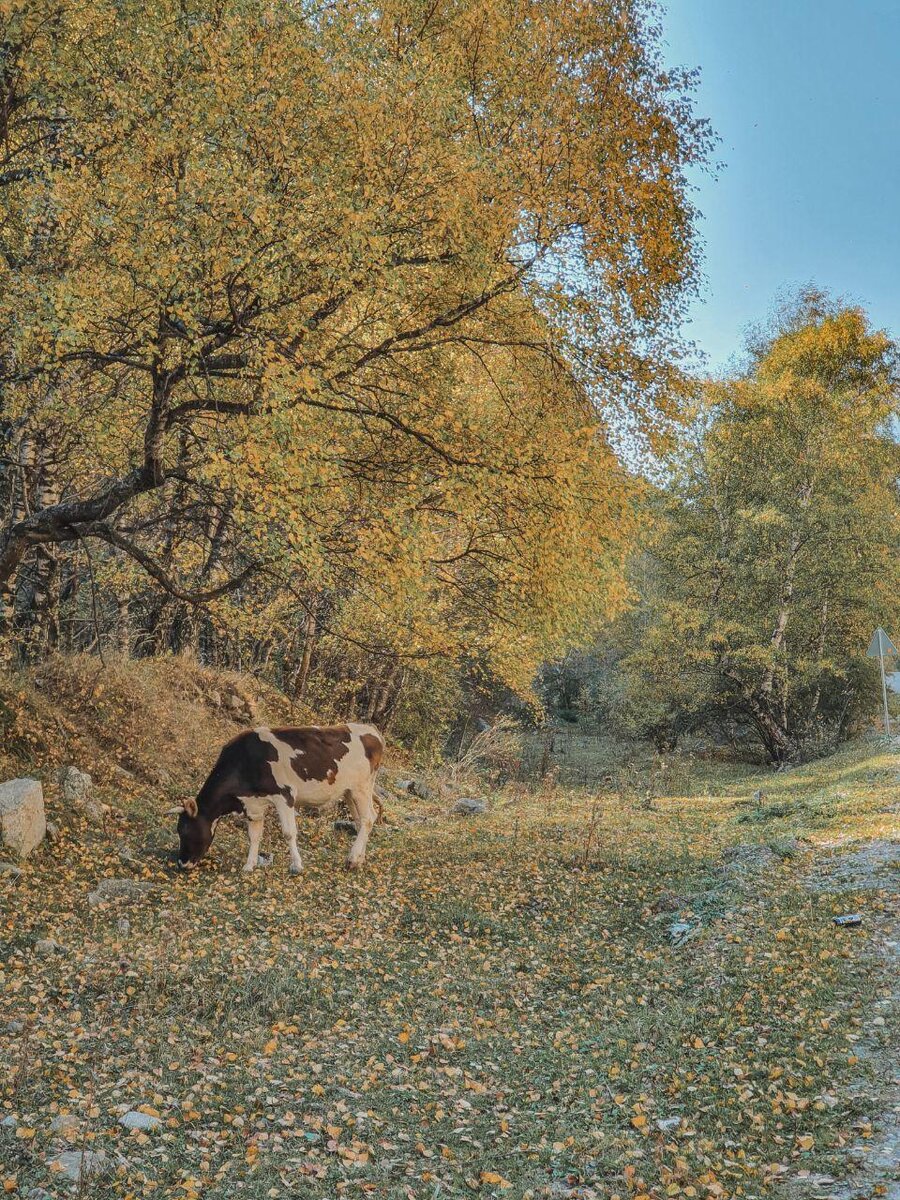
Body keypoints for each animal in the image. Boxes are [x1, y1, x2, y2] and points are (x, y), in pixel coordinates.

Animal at [171, 720, 384, 873]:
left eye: (185, 830)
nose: (182, 863)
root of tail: (371, 729)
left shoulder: (284, 795)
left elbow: (289, 833)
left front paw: (296, 865)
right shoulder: (253, 804)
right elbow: (254, 835)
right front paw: (249, 866)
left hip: (362, 787)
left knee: (368, 818)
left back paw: (352, 860)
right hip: (349, 792)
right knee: (361, 821)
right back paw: (359, 859)